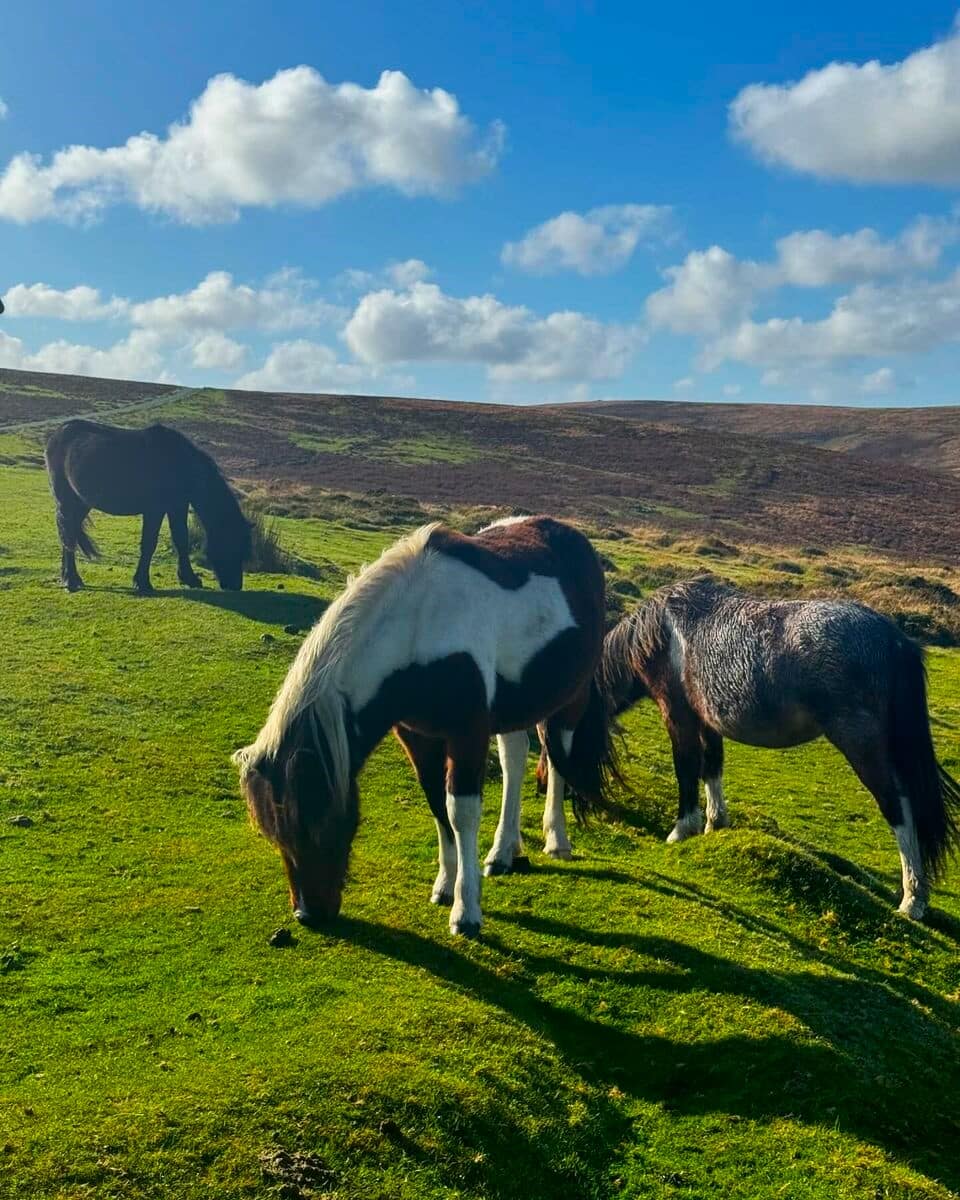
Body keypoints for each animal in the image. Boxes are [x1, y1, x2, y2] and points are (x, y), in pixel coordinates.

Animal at [44, 420, 250, 592]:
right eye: (233, 543)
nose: (235, 585)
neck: (180, 463)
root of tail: (57, 434)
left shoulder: (177, 506)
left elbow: (181, 539)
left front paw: (189, 578)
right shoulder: (155, 510)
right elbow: (149, 543)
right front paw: (142, 582)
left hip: (81, 503)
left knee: (68, 534)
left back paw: (67, 577)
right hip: (67, 500)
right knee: (68, 535)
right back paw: (71, 580)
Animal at [236, 516, 619, 936]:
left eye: (317, 822)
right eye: (275, 833)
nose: (308, 915)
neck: (417, 627)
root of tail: (571, 535)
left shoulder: (467, 734)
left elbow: (460, 812)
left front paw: (466, 912)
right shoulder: (417, 736)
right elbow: (437, 802)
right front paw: (445, 886)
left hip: (571, 697)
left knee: (557, 756)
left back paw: (556, 840)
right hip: (515, 706)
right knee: (514, 760)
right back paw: (504, 851)